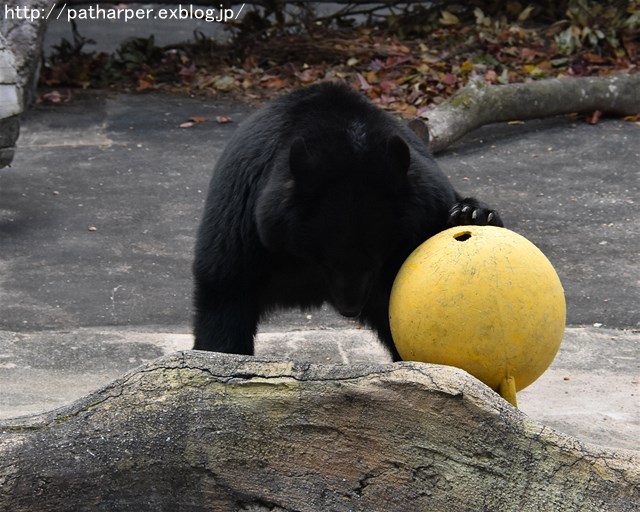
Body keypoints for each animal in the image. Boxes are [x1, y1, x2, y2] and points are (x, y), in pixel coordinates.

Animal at [192, 82, 502, 360]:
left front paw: (471, 214)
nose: (350, 306)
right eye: (326, 259)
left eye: (377, 258)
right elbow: (226, 292)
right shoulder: (246, 219)